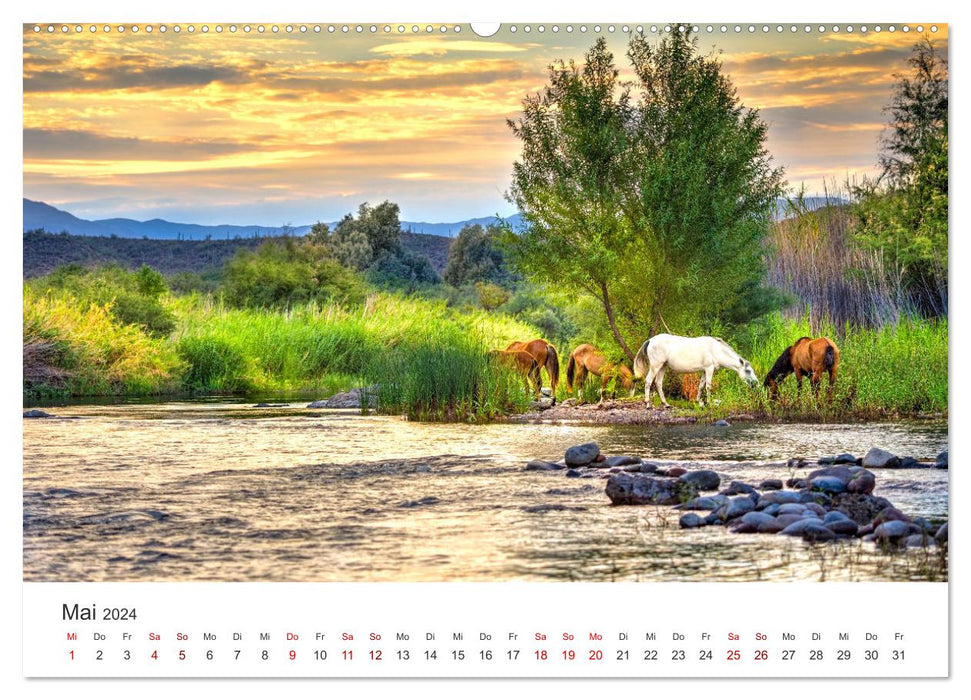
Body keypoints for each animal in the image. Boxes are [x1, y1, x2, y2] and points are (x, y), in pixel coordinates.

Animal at [636, 332, 764, 404]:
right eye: (748, 371)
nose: (757, 384)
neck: (715, 350)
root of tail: (650, 340)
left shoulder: (704, 370)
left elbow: (701, 386)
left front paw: (698, 401)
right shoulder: (709, 369)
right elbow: (708, 386)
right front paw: (709, 402)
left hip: (662, 367)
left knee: (658, 383)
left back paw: (665, 403)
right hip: (655, 366)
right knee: (648, 381)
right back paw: (647, 402)